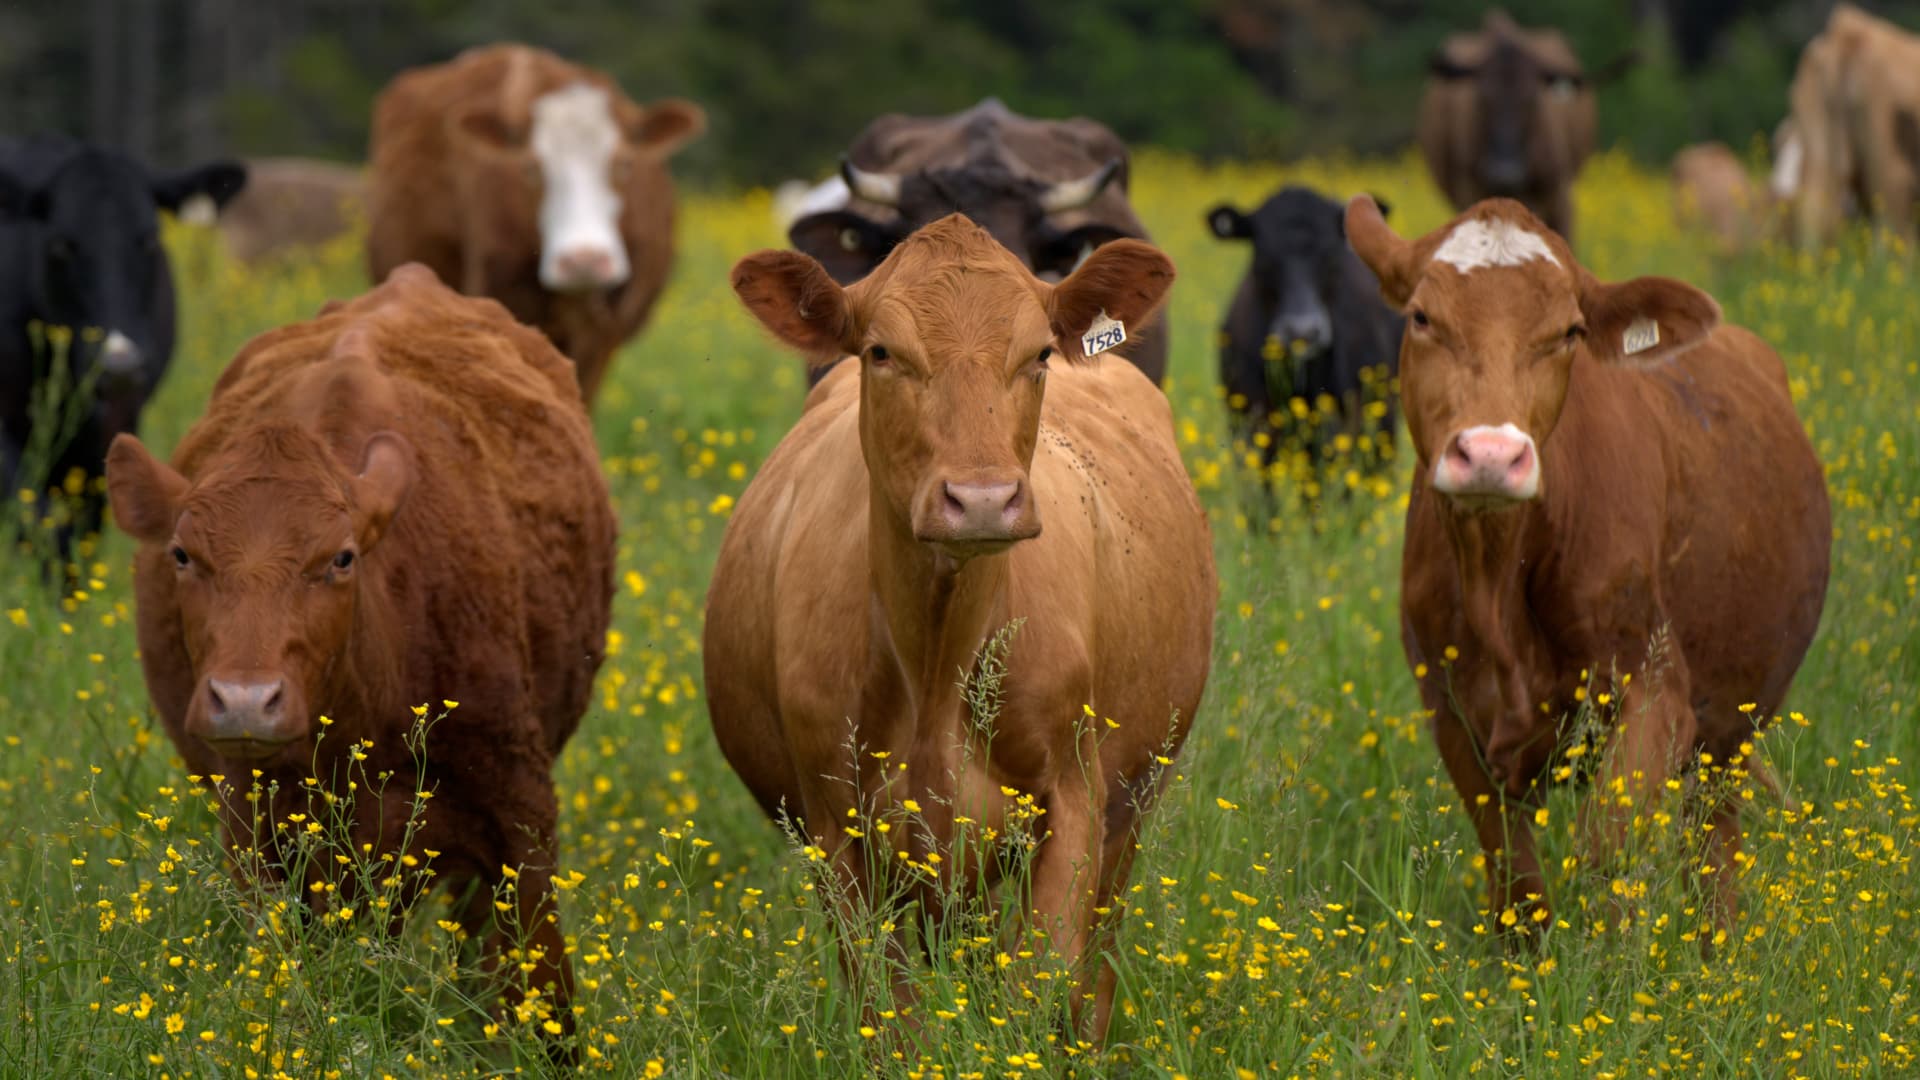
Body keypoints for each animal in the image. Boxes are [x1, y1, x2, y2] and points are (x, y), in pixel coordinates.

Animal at [103, 264, 616, 1046]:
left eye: (341, 558)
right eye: (183, 555)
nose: (245, 700)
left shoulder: (522, 816)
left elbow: (546, 997)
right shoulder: (256, 836)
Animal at [709, 215, 1215, 1042]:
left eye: (1039, 353)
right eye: (882, 351)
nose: (981, 500)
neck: (938, 658)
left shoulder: (1074, 801)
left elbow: (1038, 992)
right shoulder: (836, 826)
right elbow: (891, 1017)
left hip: (1135, 799)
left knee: (1096, 968)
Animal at [1344, 194, 1830, 935]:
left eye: (1569, 332)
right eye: (1422, 317)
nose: (1491, 453)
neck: (1498, 585)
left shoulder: (1656, 692)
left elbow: (1606, 853)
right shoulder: (1450, 712)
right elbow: (1517, 879)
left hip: (1732, 732)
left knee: (1712, 852)